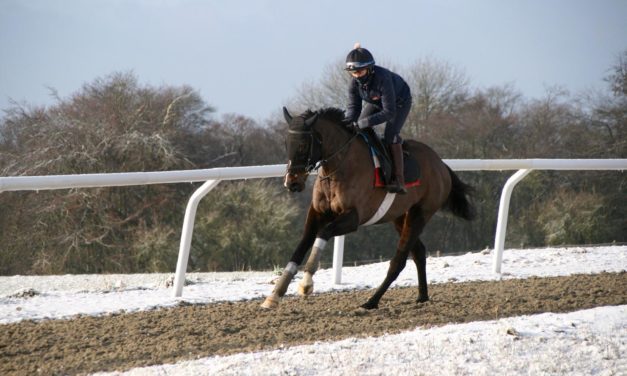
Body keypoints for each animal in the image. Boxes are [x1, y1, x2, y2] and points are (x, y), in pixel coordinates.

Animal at [262, 107, 476, 310]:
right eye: (286, 143)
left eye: (303, 145)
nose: (292, 182)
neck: (338, 168)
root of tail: (440, 164)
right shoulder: (317, 213)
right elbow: (301, 246)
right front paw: (274, 296)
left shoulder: (353, 217)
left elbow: (323, 233)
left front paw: (306, 284)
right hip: (400, 217)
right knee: (419, 252)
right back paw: (422, 296)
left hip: (420, 213)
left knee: (399, 261)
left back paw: (371, 301)